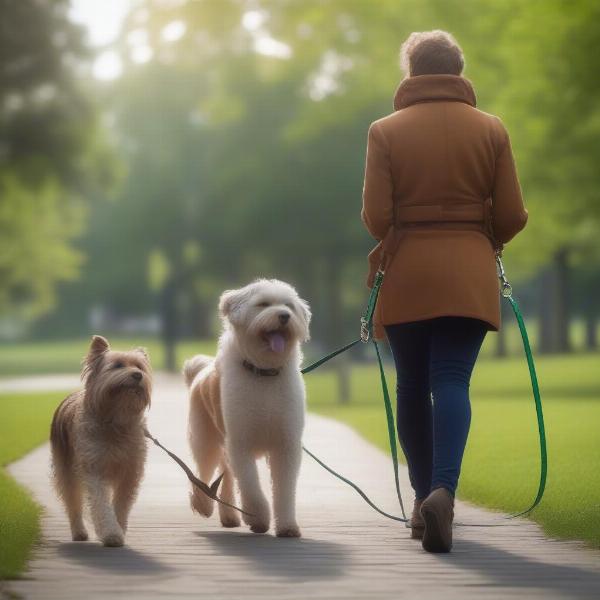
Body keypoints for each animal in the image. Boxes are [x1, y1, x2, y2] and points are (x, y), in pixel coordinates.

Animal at [50, 336, 151, 548]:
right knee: (73, 503)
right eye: (118, 365)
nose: (138, 375)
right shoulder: (94, 469)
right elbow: (101, 503)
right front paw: (111, 533)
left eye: (139, 366)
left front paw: (118, 528)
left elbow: (121, 504)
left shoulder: (130, 472)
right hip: (66, 471)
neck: (115, 420)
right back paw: (79, 532)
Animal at [183, 278, 310, 536]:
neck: (264, 374)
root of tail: (200, 371)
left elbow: (284, 489)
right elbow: (251, 485)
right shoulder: (240, 442)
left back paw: (229, 515)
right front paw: (259, 517)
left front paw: (287, 526)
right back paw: (203, 504)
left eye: (289, 305)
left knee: (227, 478)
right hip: (206, 441)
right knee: (203, 473)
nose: (284, 316)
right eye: (263, 304)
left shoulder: (287, 444)